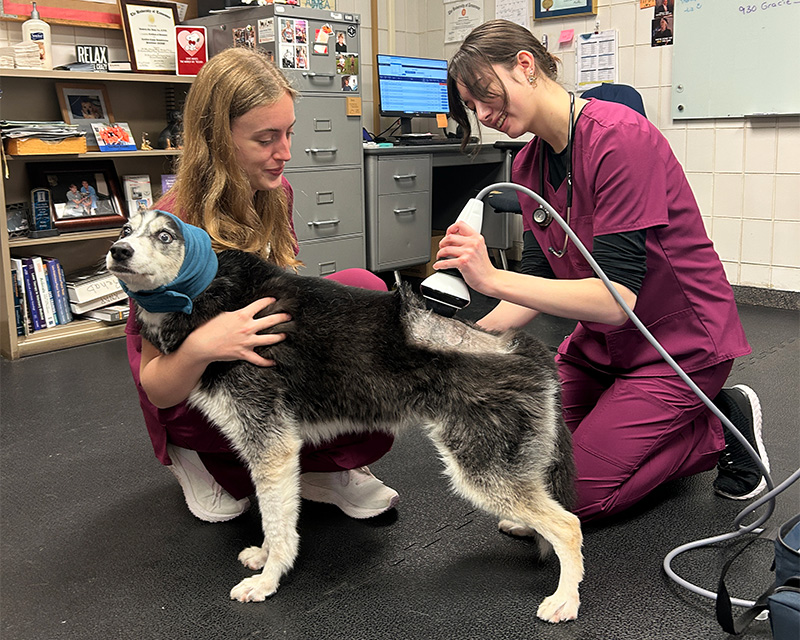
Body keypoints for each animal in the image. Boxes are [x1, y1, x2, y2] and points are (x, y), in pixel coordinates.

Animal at [104, 212, 580, 624]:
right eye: (126, 229)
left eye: (165, 236)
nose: (117, 250)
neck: (210, 294)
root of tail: (529, 352)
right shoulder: (272, 451)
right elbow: (274, 516)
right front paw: (263, 557)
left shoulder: (271, 445)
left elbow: (278, 525)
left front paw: (268, 580)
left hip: (481, 471)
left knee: (569, 526)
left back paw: (565, 599)